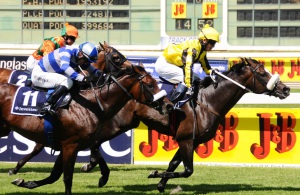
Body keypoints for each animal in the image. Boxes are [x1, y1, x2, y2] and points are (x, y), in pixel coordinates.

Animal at [0, 49, 166, 195]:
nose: (168, 105)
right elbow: (67, 177)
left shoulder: (71, 145)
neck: (92, 103)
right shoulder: (70, 145)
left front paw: (24, 182)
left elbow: (55, 175)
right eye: (150, 84)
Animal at [80, 57, 290, 192]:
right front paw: (154, 174)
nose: (286, 89)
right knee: (95, 141)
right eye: (262, 73)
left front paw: (161, 184)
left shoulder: (191, 141)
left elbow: (173, 164)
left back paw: (92, 166)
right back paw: (96, 170)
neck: (208, 101)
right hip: (117, 124)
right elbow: (188, 170)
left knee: (95, 142)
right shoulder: (186, 139)